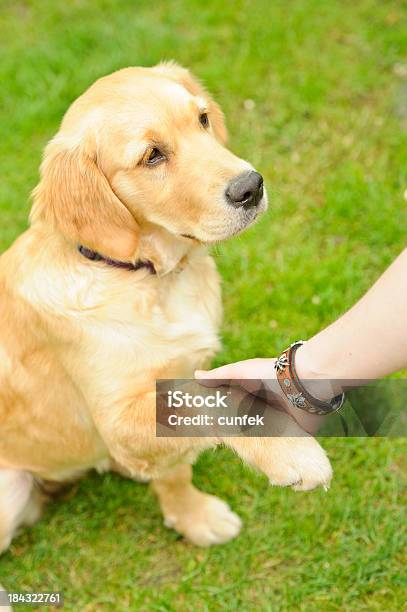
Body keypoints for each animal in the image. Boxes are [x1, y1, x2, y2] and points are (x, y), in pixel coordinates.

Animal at [0, 62, 332, 548]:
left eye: (202, 119)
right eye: (152, 156)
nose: (251, 187)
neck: (144, 274)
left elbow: (176, 467)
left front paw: (191, 515)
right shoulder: (119, 418)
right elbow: (214, 401)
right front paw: (288, 449)